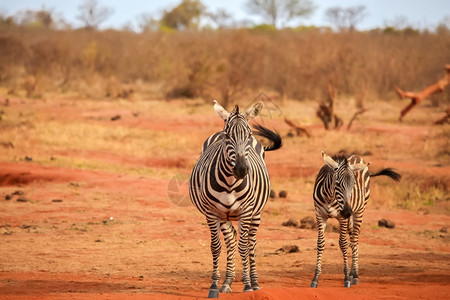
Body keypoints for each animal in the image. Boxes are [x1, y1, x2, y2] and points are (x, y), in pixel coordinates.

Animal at [189, 100, 282, 298]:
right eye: (227, 136)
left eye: (248, 135)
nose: (241, 169)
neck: (230, 183)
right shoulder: (212, 213)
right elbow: (216, 246)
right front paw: (214, 286)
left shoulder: (245, 211)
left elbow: (244, 247)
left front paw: (247, 285)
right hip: (225, 216)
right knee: (231, 240)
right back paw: (227, 282)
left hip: (256, 214)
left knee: (251, 243)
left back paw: (254, 282)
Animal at [310, 152, 400, 288]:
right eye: (337, 183)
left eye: (353, 185)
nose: (347, 212)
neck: (330, 197)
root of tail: (356, 156)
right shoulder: (320, 215)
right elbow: (320, 243)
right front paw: (316, 277)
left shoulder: (342, 218)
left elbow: (343, 244)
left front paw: (347, 278)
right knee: (352, 238)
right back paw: (352, 274)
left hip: (360, 210)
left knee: (355, 239)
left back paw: (355, 275)